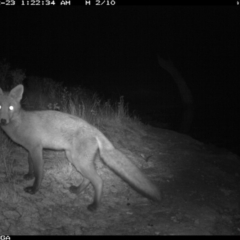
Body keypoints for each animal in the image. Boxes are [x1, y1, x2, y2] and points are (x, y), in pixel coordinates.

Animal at [0, 84, 161, 210]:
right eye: (0, 106)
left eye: (10, 107)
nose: (3, 121)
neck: (19, 124)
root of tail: (94, 129)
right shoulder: (31, 149)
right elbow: (30, 163)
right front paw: (29, 175)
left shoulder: (36, 148)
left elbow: (40, 172)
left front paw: (34, 190)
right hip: (74, 159)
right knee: (89, 179)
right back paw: (77, 191)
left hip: (79, 161)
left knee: (98, 180)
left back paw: (94, 205)